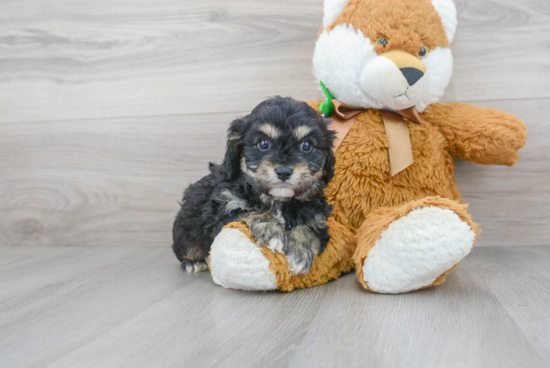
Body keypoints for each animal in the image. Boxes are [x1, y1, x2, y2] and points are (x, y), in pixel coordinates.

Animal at [172, 96, 336, 274]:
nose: (283, 171)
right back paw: (193, 262)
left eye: (306, 145)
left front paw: (302, 248)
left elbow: (310, 226)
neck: (279, 201)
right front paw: (271, 228)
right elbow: (249, 209)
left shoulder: (318, 216)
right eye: (263, 143)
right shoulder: (225, 204)